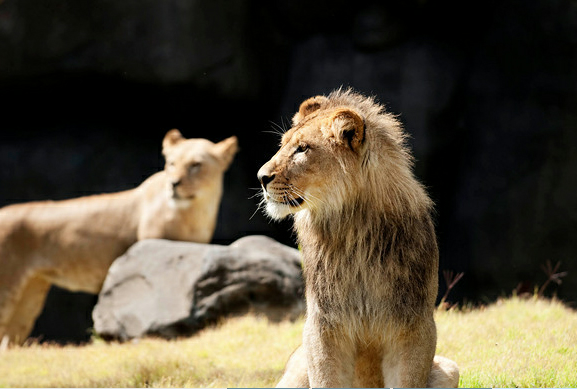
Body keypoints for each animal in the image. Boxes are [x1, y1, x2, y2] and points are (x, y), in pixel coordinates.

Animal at [0, 129, 237, 344]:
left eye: (196, 165)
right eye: (171, 164)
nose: (174, 183)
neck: (196, 211)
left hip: (31, 294)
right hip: (8, 287)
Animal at [256, 89, 460, 386]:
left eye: (302, 148)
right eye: (282, 145)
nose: (261, 177)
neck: (354, 232)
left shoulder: (414, 325)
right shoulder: (323, 325)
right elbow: (326, 378)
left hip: (449, 367)